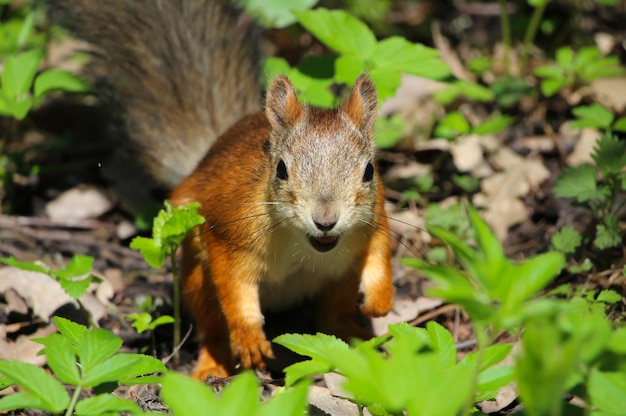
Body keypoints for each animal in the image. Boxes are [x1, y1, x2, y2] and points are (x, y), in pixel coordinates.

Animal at [53, 0, 392, 378]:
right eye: (281, 169)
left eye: (369, 171)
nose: (326, 220)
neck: (302, 242)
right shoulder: (230, 234)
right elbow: (234, 286)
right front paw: (249, 338)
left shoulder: (374, 220)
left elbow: (381, 252)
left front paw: (381, 301)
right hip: (198, 283)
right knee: (212, 327)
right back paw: (213, 364)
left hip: (340, 280)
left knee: (330, 318)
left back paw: (361, 338)